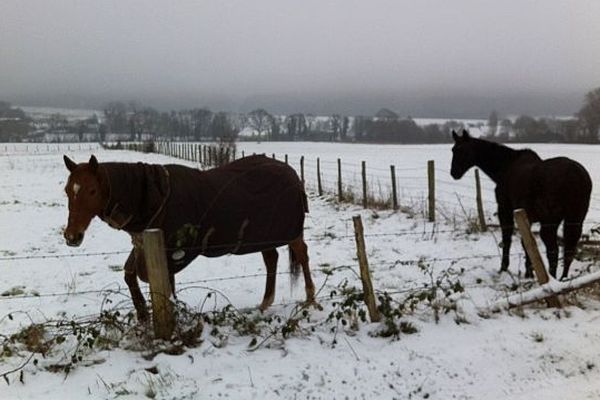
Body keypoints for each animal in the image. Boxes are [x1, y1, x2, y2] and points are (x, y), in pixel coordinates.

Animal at [64, 154, 318, 322]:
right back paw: (265, 304)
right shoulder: (144, 244)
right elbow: (129, 273)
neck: (154, 197)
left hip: (290, 232)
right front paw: (143, 313)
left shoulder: (172, 251)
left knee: (302, 255)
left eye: (92, 191)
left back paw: (310, 300)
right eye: (67, 190)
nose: (71, 236)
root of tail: (292, 174)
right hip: (264, 234)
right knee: (271, 259)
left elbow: (162, 283)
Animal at [450, 130, 592, 280]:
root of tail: (576, 176)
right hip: (575, 219)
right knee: (569, 251)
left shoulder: (505, 210)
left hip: (549, 224)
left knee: (554, 251)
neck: (506, 167)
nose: (454, 173)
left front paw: (504, 268)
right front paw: (529, 272)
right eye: (453, 149)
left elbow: (507, 239)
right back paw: (563, 278)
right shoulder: (526, 216)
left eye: (463, 150)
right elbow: (528, 243)